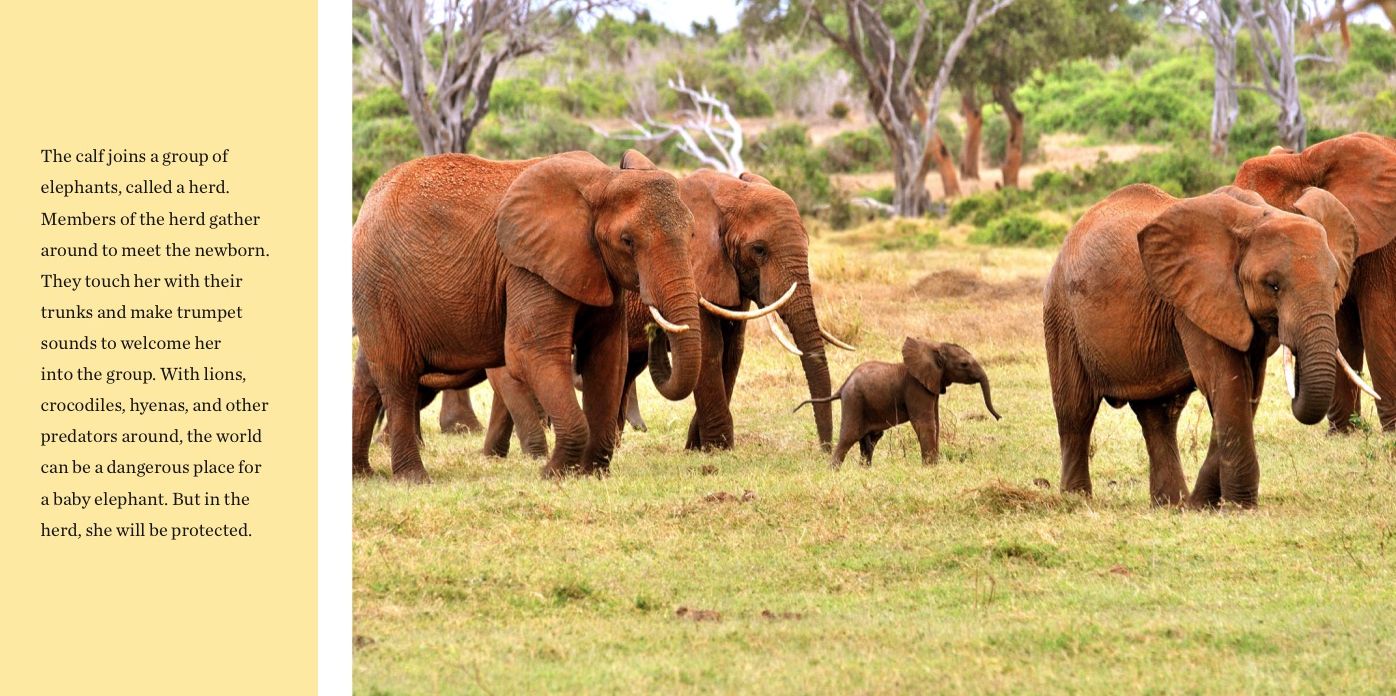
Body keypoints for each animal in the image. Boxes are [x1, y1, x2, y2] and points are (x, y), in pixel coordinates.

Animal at [352, 150, 704, 481]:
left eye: (692, 235)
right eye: (627, 241)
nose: (656, 331)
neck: (603, 180)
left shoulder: (597, 268)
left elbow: (607, 356)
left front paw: (592, 473)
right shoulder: (528, 268)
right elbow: (530, 352)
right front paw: (553, 473)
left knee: (369, 378)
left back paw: (362, 474)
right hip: (377, 284)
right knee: (397, 377)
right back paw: (413, 478)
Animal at [476, 169, 855, 457]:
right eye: (759, 250)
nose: (823, 449)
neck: (727, 193)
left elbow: (732, 353)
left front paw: (697, 447)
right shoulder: (700, 270)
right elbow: (711, 351)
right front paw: (717, 449)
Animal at [794, 337, 1000, 467]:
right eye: (964, 365)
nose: (998, 417)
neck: (932, 349)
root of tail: (843, 386)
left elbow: (936, 422)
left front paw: (934, 464)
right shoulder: (916, 387)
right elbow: (924, 423)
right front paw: (930, 467)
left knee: (869, 440)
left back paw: (865, 469)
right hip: (854, 400)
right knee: (849, 435)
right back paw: (833, 470)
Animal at [1043, 183, 1367, 508]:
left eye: (1335, 283)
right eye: (1272, 285)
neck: (1256, 217)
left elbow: (1249, 388)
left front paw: (1202, 505)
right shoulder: (1197, 299)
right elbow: (1226, 382)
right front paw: (1236, 508)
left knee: (1159, 416)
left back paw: (1171, 505)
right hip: (1062, 313)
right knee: (1076, 410)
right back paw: (1077, 500)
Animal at [1233, 133, 1396, 431]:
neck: (1303, 162)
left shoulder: (1385, 246)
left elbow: (1380, 321)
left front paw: (1392, 431)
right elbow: (1340, 330)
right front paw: (1342, 433)